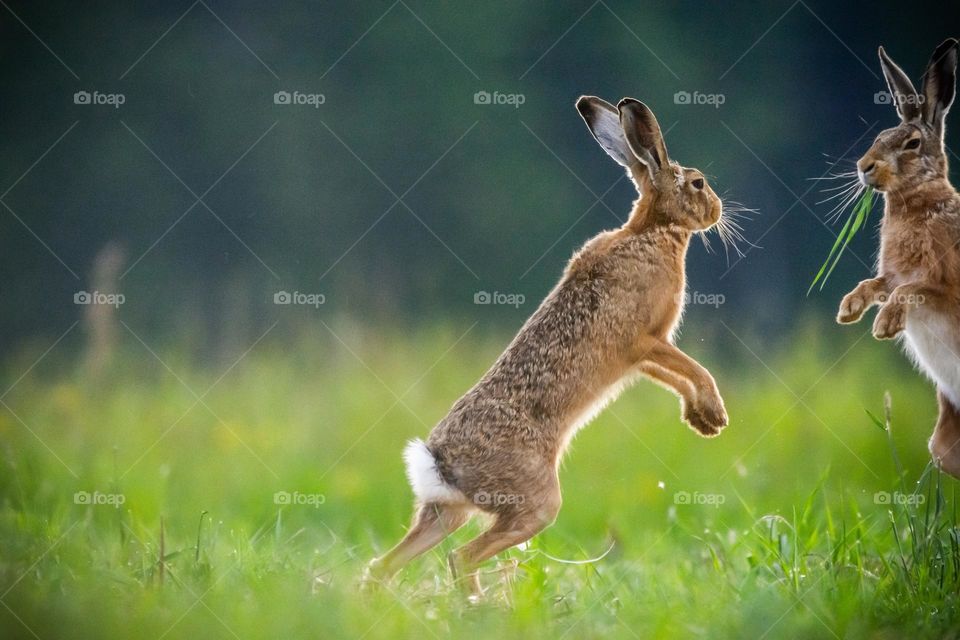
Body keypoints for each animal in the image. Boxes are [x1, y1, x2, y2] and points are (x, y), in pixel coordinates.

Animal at [364, 96, 729, 597]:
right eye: (698, 183)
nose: (717, 210)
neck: (652, 232)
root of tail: (439, 463)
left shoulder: (640, 357)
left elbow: (676, 376)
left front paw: (698, 420)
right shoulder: (644, 340)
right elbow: (694, 368)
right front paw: (715, 416)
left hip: (446, 512)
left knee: (386, 564)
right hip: (535, 503)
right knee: (462, 556)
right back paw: (480, 605)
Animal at [837, 38, 960, 476]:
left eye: (911, 145)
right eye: (880, 135)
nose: (864, 167)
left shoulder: (943, 284)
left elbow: (911, 289)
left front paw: (886, 324)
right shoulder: (891, 274)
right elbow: (876, 284)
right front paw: (849, 309)